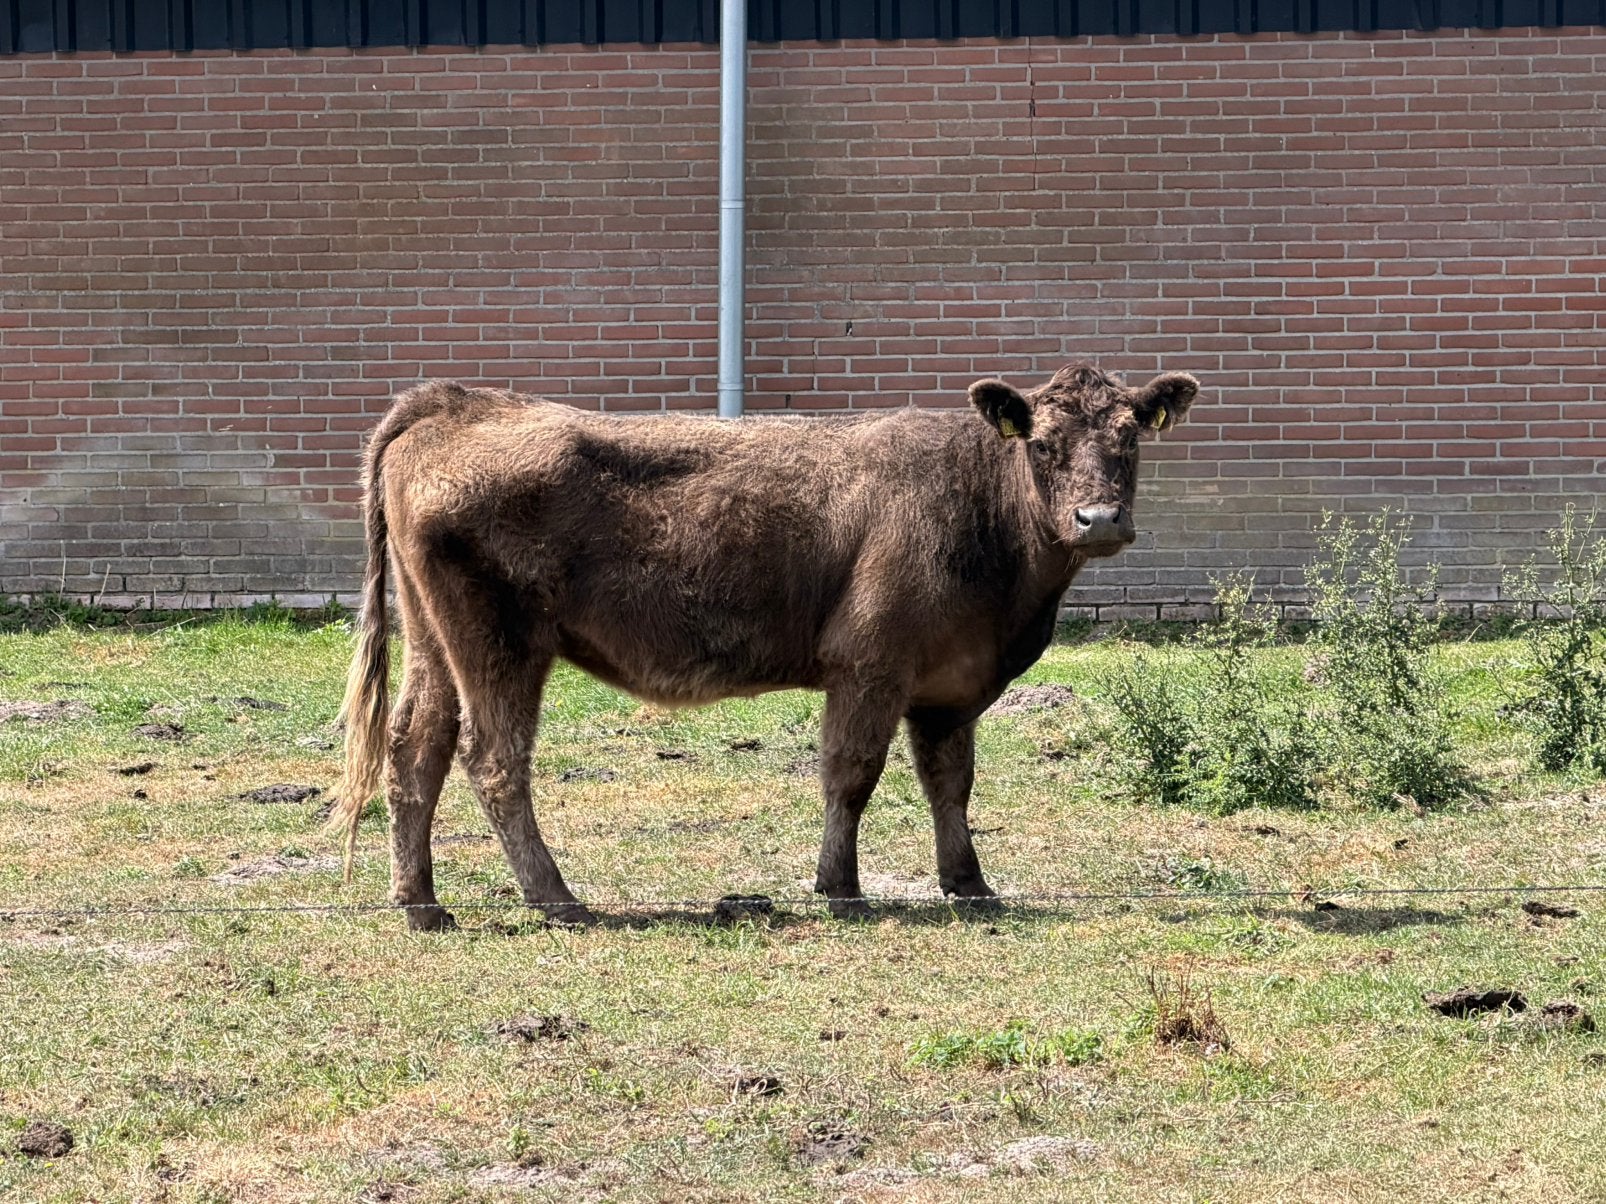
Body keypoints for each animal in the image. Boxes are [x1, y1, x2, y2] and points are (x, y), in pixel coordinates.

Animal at [331, 364, 1199, 929]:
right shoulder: (869, 666)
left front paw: (969, 884)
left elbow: (949, 785)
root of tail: (456, 403)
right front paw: (840, 887)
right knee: (493, 756)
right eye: (1043, 444)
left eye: (1131, 440)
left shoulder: (949, 688)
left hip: (434, 642)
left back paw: (422, 903)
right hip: (501, 644)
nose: (1099, 519)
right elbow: (851, 775)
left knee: (415, 748)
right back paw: (558, 900)